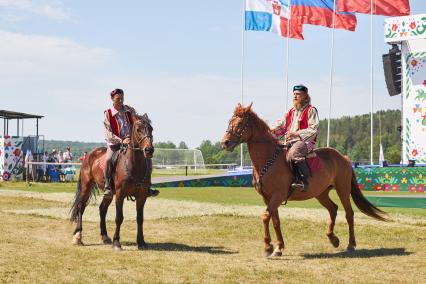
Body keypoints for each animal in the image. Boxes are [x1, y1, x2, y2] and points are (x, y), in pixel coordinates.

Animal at [70, 114, 155, 250]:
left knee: (102, 209)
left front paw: (141, 242)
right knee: (80, 208)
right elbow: (119, 218)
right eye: (138, 129)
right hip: (86, 187)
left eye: (151, 129)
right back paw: (78, 236)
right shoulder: (120, 194)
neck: (134, 165)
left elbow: (140, 218)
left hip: (108, 194)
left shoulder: (142, 196)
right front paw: (116, 243)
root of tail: (89, 155)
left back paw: (105, 236)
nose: (149, 150)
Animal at [221, 104, 388, 258]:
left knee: (349, 214)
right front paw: (278, 247)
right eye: (229, 122)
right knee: (333, 209)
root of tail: (344, 158)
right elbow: (275, 220)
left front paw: (268, 247)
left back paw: (351, 244)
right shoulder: (268, 198)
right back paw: (333, 239)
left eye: (240, 123)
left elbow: (265, 217)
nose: (225, 143)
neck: (268, 159)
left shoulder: (278, 195)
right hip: (321, 193)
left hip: (343, 190)